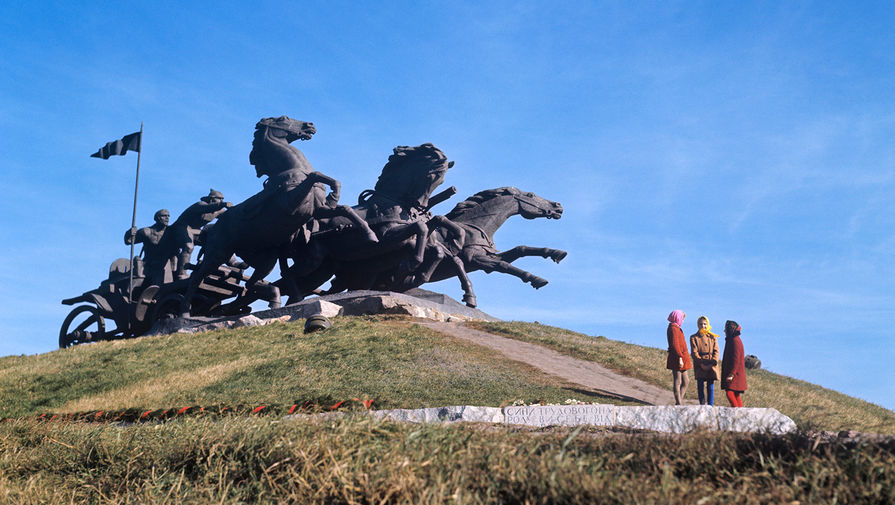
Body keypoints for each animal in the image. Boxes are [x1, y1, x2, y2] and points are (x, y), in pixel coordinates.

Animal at [180, 117, 376, 316]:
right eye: (283, 119)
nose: (310, 126)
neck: (293, 170)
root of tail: (212, 228)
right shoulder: (292, 203)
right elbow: (315, 175)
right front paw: (333, 195)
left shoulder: (319, 210)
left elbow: (344, 206)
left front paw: (369, 234)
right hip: (218, 254)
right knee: (197, 277)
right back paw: (185, 311)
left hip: (265, 259)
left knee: (252, 283)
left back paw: (273, 299)